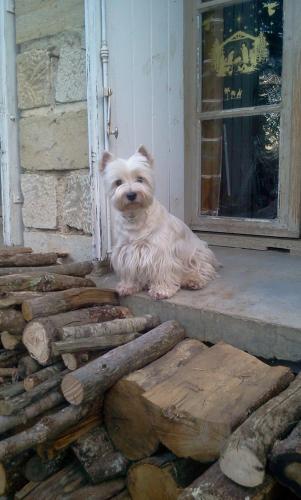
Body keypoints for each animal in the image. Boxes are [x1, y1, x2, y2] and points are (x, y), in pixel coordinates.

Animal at [101, 146, 218, 298]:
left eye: (140, 179)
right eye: (118, 182)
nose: (131, 195)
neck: (136, 216)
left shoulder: (159, 252)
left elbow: (162, 272)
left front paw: (161, 290)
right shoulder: (126, 251)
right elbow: (129, 271)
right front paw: (128, 286)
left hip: (196, 253)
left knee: (202, 268)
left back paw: (193, 280)